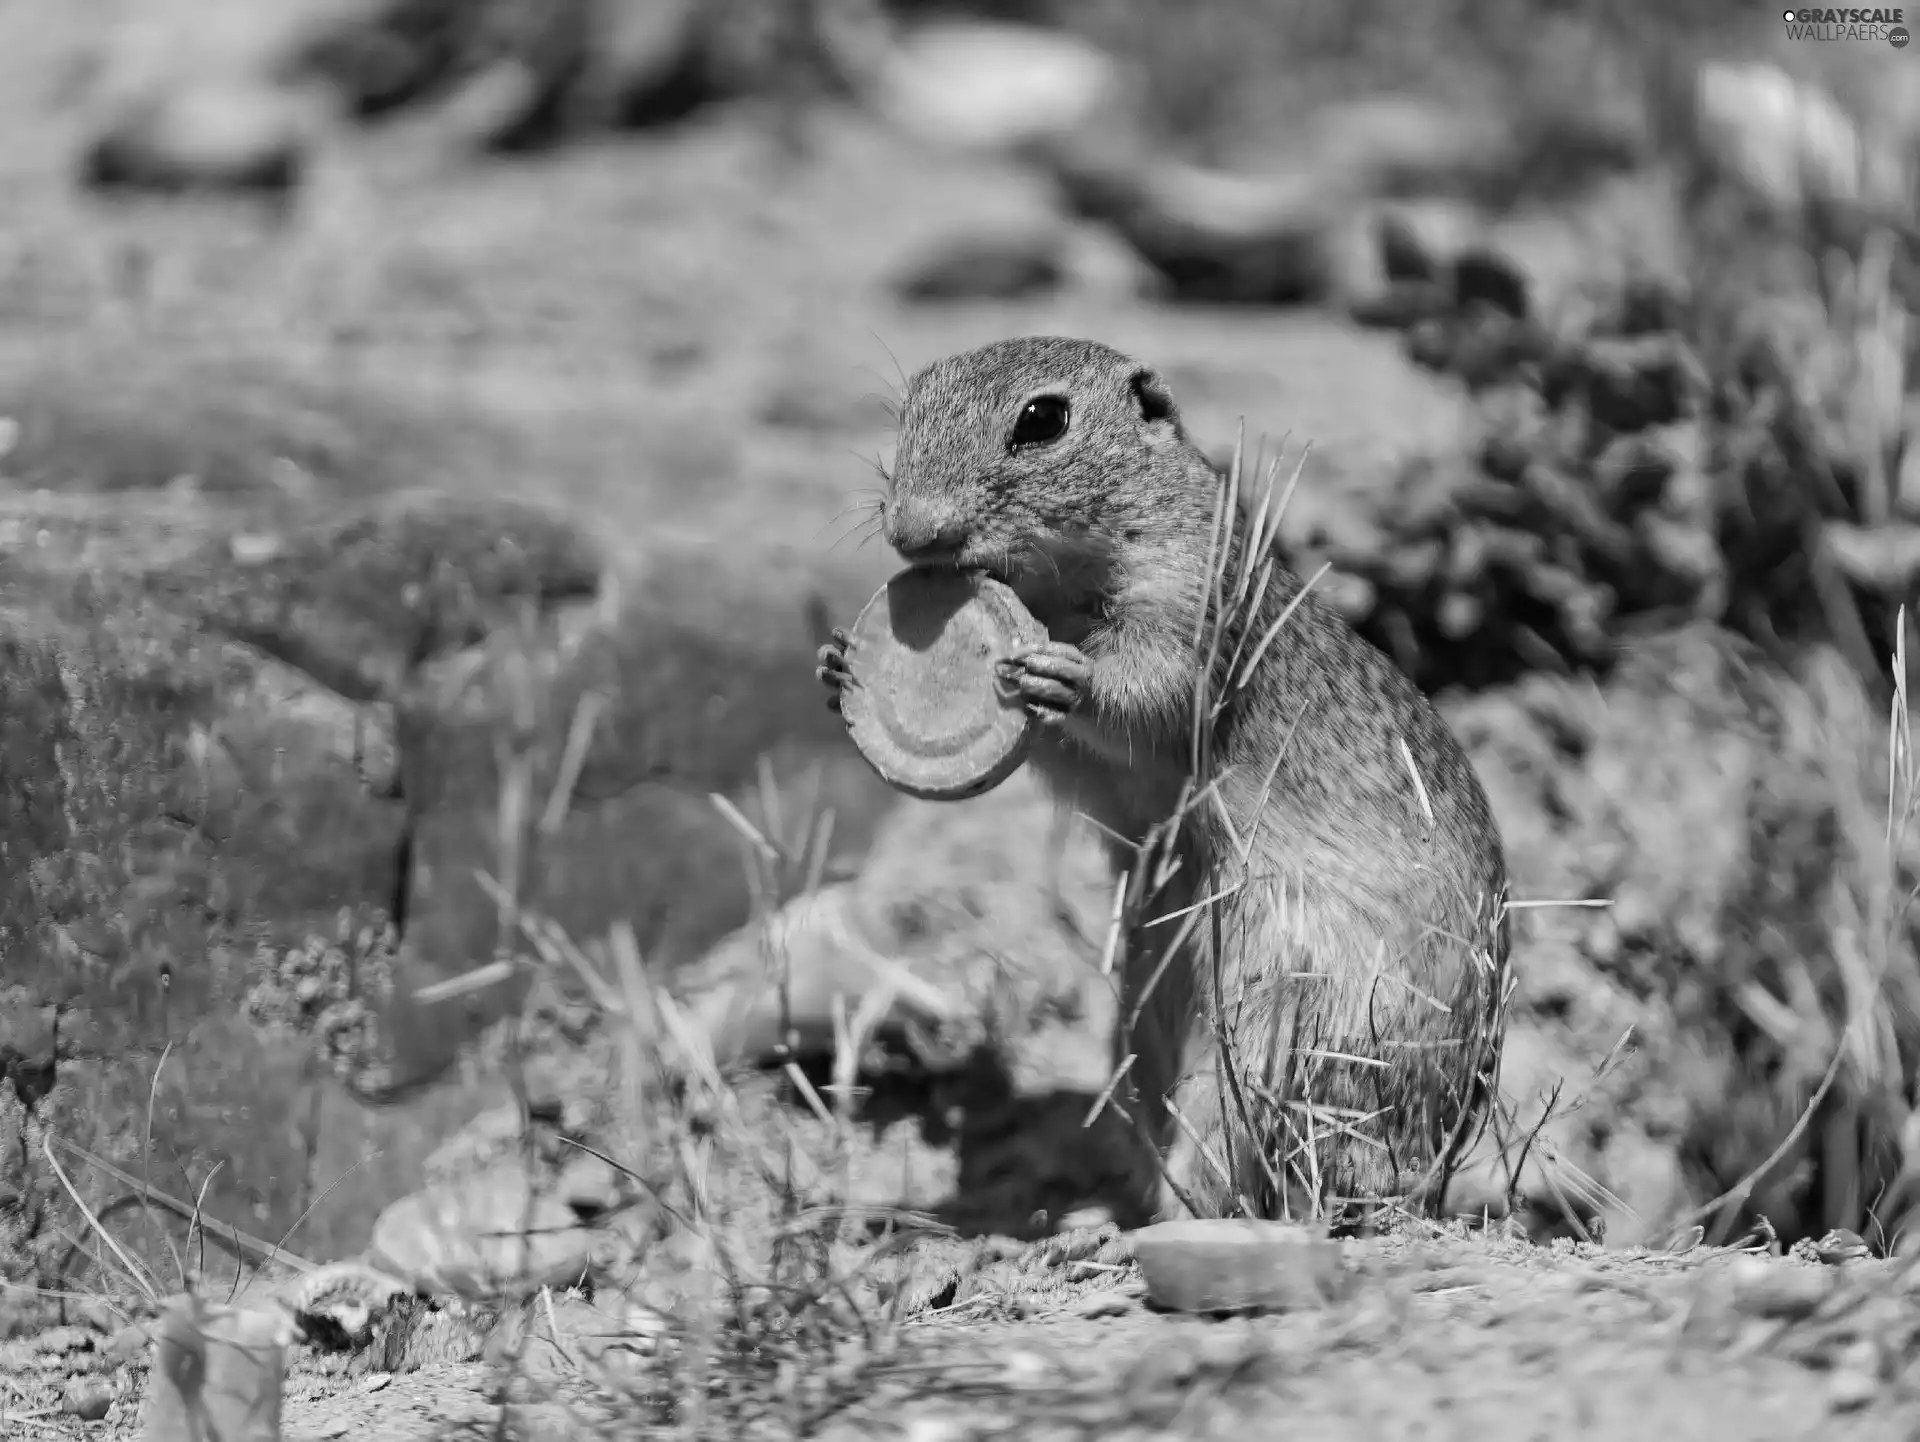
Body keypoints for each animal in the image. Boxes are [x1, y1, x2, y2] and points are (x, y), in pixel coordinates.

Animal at [817, 337, 1505, 1228]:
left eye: (1043, 419)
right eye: (911, 405)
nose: (909, 528)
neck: (1057, 584)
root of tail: (1432, 1178)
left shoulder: (1185, 606)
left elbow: (1150, 689)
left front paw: (1062, 673)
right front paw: (837, 662)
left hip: (1270, 1030)